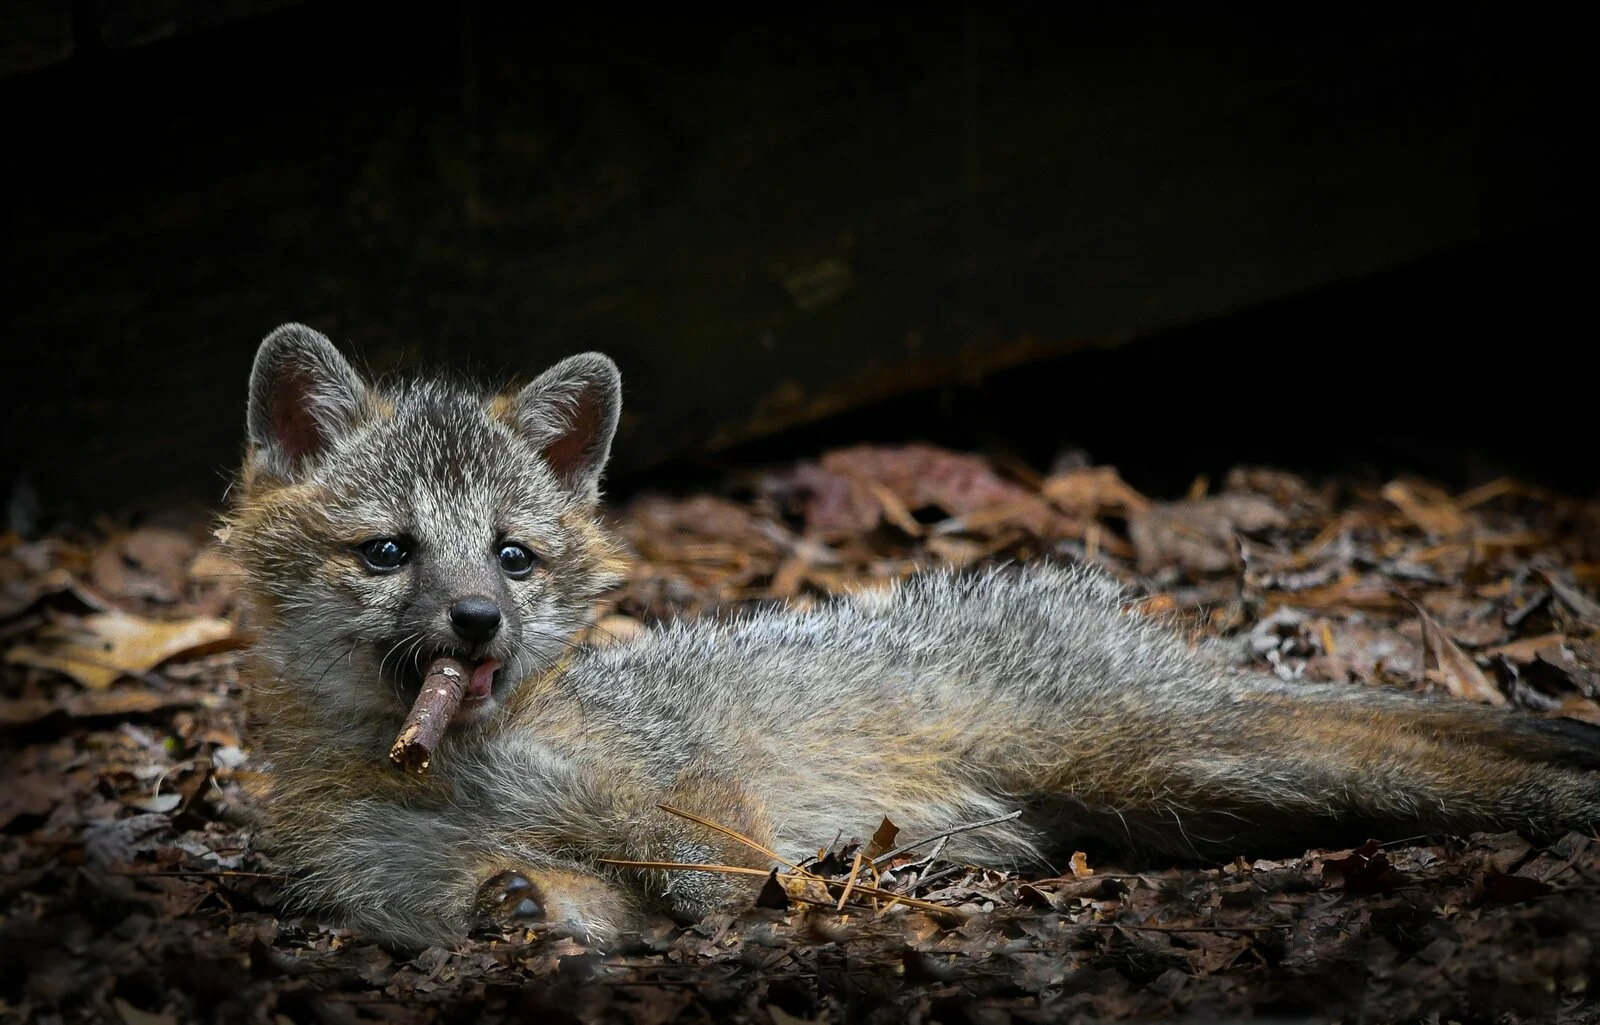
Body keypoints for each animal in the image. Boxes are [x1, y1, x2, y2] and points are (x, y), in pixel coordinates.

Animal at [228, 323, 1600, 946]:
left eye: (512, 555)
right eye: (390, 551)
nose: (478, 617)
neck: (460, 768)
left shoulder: (693, 799)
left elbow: (720, 873)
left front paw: (784, 905)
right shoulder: (430, 886)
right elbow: (541, 898)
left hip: (1182, 758)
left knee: (1434, 756)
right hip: (1176, 797)